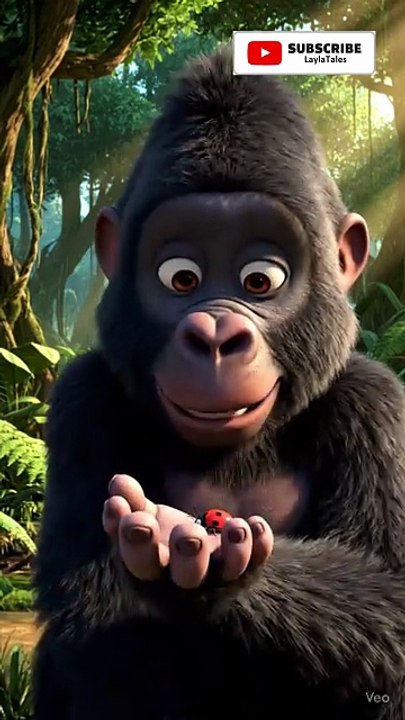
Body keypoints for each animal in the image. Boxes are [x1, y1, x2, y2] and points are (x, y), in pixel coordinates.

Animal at [32, 47, 405, 719]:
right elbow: (88, 622)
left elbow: (391, 599)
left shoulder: (376, 403)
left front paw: (234, 582)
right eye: (181, 278)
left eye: (260, 281)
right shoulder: (81, 397)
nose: (213, 336)